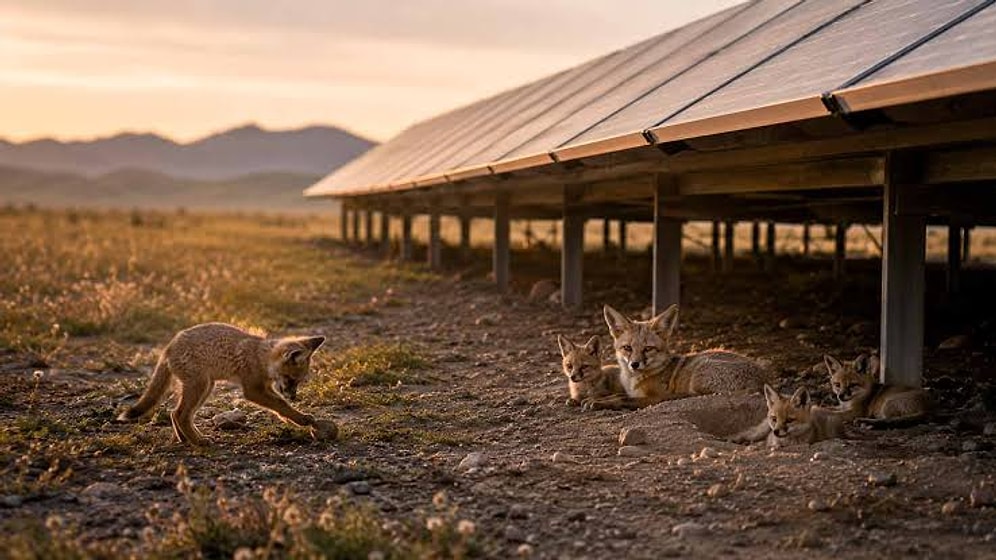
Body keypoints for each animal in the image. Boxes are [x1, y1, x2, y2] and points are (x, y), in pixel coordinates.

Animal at [117, 322, 337, 445]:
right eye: (291, 379)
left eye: (298, 382)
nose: (295, 396)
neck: (261, 357)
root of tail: (169, 346)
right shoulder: (253, 390)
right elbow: (280, 404)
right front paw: (302, 419)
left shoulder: (266, 387)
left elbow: (280, 406)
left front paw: (295, 418)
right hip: (200, 386)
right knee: (180, 414)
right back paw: (198, 441)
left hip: (206, 387)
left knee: (175, 413)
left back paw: (185, 439)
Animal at [602, 304, 766, 407]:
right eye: (627, 348)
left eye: (648, 348)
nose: (634, 364)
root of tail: (763, 381)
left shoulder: (652, 394)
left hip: (700, 371)